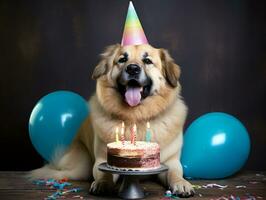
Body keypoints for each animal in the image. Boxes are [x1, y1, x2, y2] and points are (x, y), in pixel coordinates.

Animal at [30, 43, 194, 197]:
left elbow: (175, 173)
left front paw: (182, 184)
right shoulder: (101, 160)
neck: (135, 116)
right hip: (80, 166)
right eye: (122, 60)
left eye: (147, 60)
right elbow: (104, 173)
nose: (132, 69)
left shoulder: (171, 162)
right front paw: (102, 183)